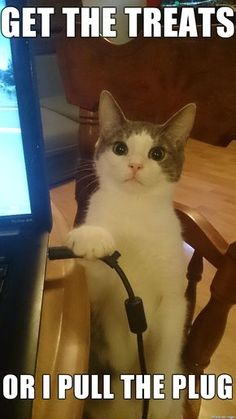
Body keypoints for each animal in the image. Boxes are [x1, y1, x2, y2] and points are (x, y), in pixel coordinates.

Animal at [67, 92, 196, 419]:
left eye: (157, 153)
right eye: (120, 148)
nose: (136, 165)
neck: (135, 208)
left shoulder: (174, 301)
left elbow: (167, 347)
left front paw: (160, 400)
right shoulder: (99, 300)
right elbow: (91, 287)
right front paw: (91, 238)